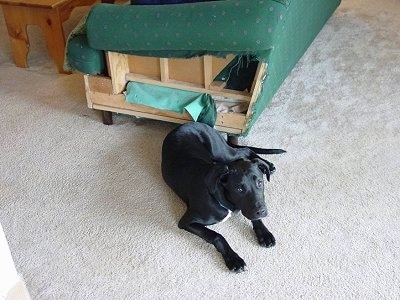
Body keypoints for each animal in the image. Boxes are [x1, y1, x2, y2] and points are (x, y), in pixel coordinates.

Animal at [160, 121, 284, 272]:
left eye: (260, 183)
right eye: (239, 189)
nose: (262, 211)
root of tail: (187, 124)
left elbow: (254, 218)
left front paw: (264, 234)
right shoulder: (187, 221)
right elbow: (216, 236)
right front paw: (234, 259)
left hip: (222, 153)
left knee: (246, 151)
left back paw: (268, 164)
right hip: (222, 154)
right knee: (245, 151)